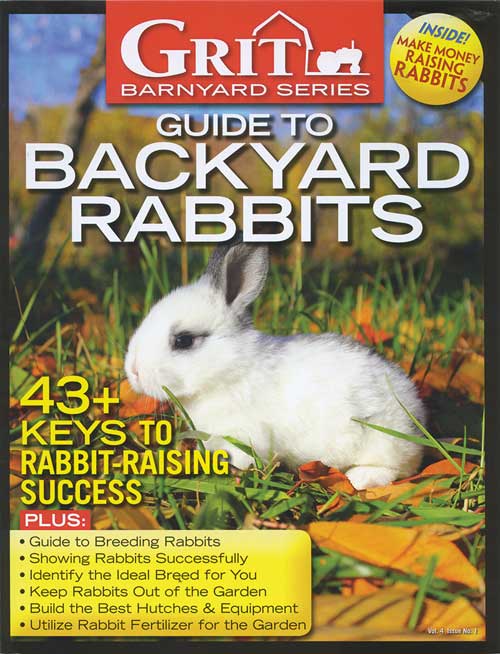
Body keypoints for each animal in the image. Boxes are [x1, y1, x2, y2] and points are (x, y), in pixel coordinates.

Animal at [125, 239, 425, 490]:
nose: (134, 371)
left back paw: (360, 478)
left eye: (183, 340)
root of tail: (416, 411)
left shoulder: (243, 435)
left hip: (382, 442)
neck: (231, 369)